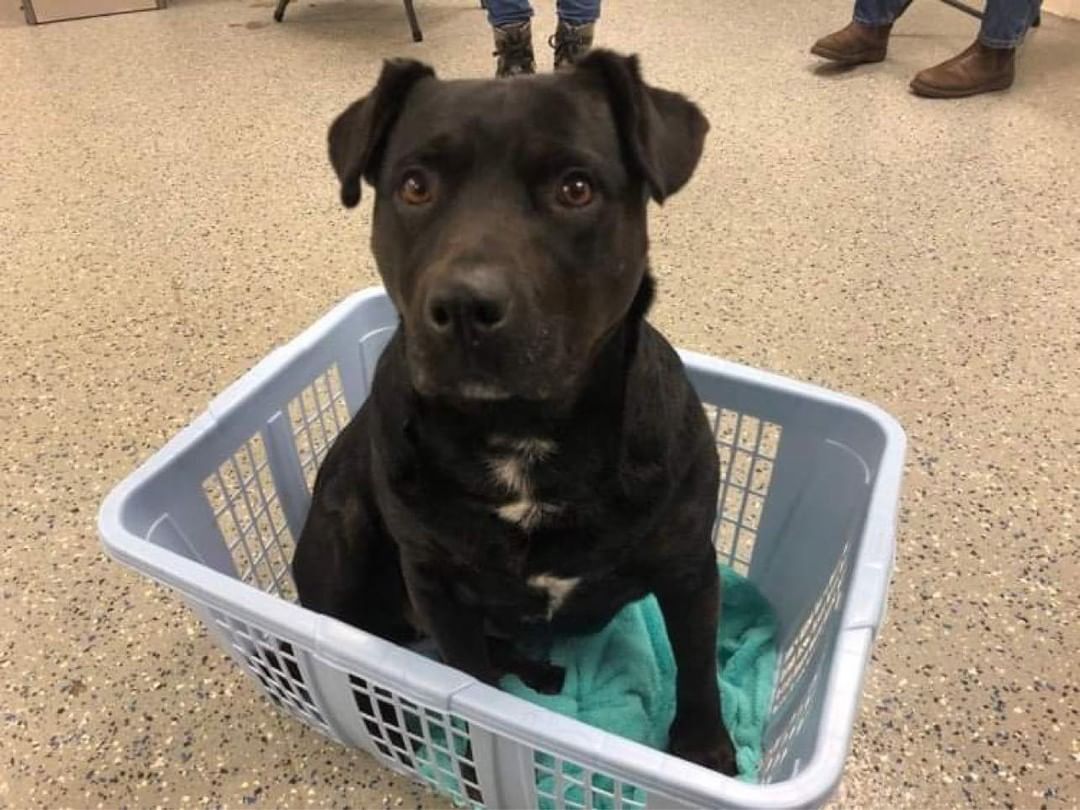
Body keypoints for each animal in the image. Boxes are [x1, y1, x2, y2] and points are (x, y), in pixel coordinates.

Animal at [291, 50, 738, 773]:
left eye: (576, 188)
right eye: (414, 186)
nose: (464, 307)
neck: (521, 436)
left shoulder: (691, 565)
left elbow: (698, 665)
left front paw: (704, 752)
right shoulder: (436, 586)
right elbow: (473, 679)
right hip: (340, 533)